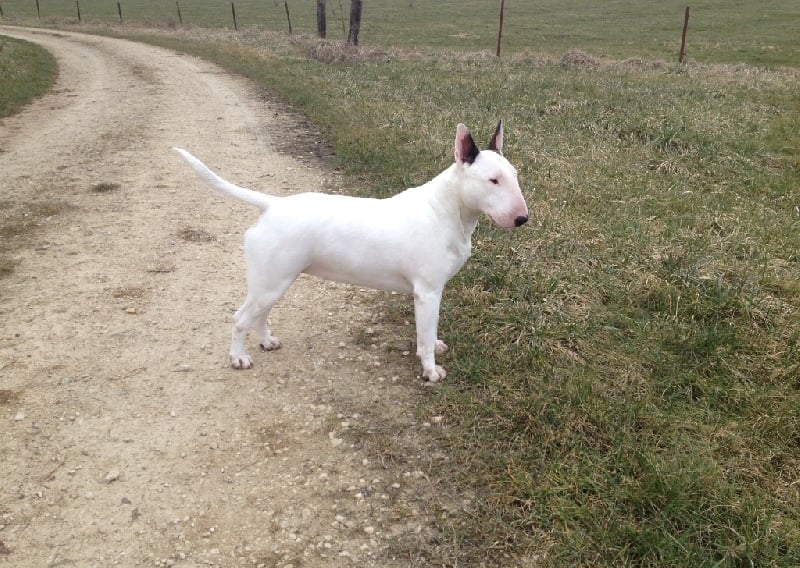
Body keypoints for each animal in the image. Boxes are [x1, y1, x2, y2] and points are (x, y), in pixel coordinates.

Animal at [175, 121, 528, 382]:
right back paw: (238, 357)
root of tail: (273, 205)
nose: (522, 219)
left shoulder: (434, 292)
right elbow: (424, 337)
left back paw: (266, 341)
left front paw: (437, 346)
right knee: (240, 318)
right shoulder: (427, 293)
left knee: (258, 314)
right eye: (492, 180)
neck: (447, 208)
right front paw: (431, 371)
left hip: (275, 281)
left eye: (514, 176)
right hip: (271, 280)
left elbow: (432, 331)